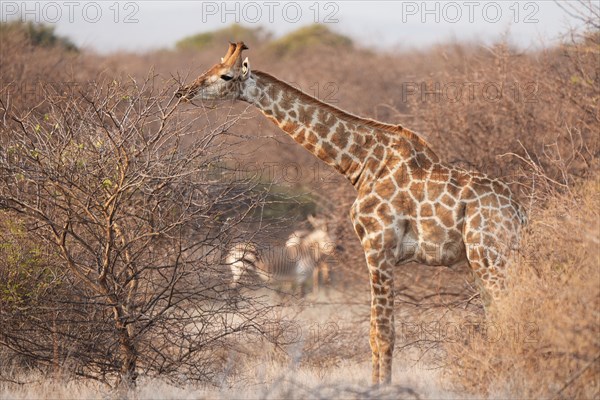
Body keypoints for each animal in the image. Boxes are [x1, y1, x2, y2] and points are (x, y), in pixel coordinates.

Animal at [173, 43, 524, 384]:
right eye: (212, 67)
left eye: (226, 76)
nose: (183, 92)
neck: (361, 163)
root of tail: (518, 210)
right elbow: (373, 332)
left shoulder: (378, 247)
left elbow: (381, 333)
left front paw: (381, 388)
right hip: (483, 260)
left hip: (489, 256)